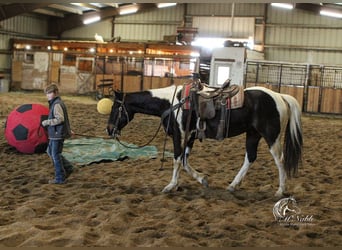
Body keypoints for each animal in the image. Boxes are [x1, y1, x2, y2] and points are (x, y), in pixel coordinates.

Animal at [107, 82, 302, 197]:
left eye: (115, 107)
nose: (109, 129)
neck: (171, 102)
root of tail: (280, 96)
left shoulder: (180, 135)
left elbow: (177, 160)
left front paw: (170, 186)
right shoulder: (190, 137)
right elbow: (184, 162)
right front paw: (202, 179)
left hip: (271, 136)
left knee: (279, 160)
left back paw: (281, 190)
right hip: (253, 134)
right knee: (250, 157)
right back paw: (233, 185)